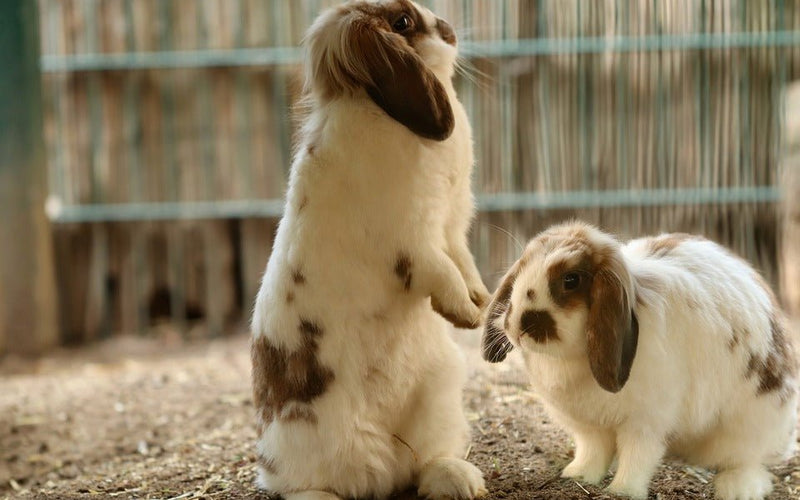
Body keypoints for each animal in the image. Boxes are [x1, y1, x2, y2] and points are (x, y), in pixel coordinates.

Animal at [250, 1, 488, 498]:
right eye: (402, 22)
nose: (449, 29)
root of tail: (380, 471)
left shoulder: (452, 227)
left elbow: (462, 261)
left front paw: (481, 301)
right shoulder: (412, 240)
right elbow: (440, 270)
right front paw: (464, 314)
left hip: (441, 398)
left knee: (422, 465)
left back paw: (460, 479)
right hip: (301, 442)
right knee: (297, 483)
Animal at [478, 222, 796, 500]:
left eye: (571, 280)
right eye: (522, 268)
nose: (519, 325)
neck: (572, 359)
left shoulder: (645, 423)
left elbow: (637, 457)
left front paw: (622, 491)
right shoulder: (589, 427)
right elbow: (593, 451)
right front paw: (577, 476)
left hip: (751, 426)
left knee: (749, 463)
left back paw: (737, 488)